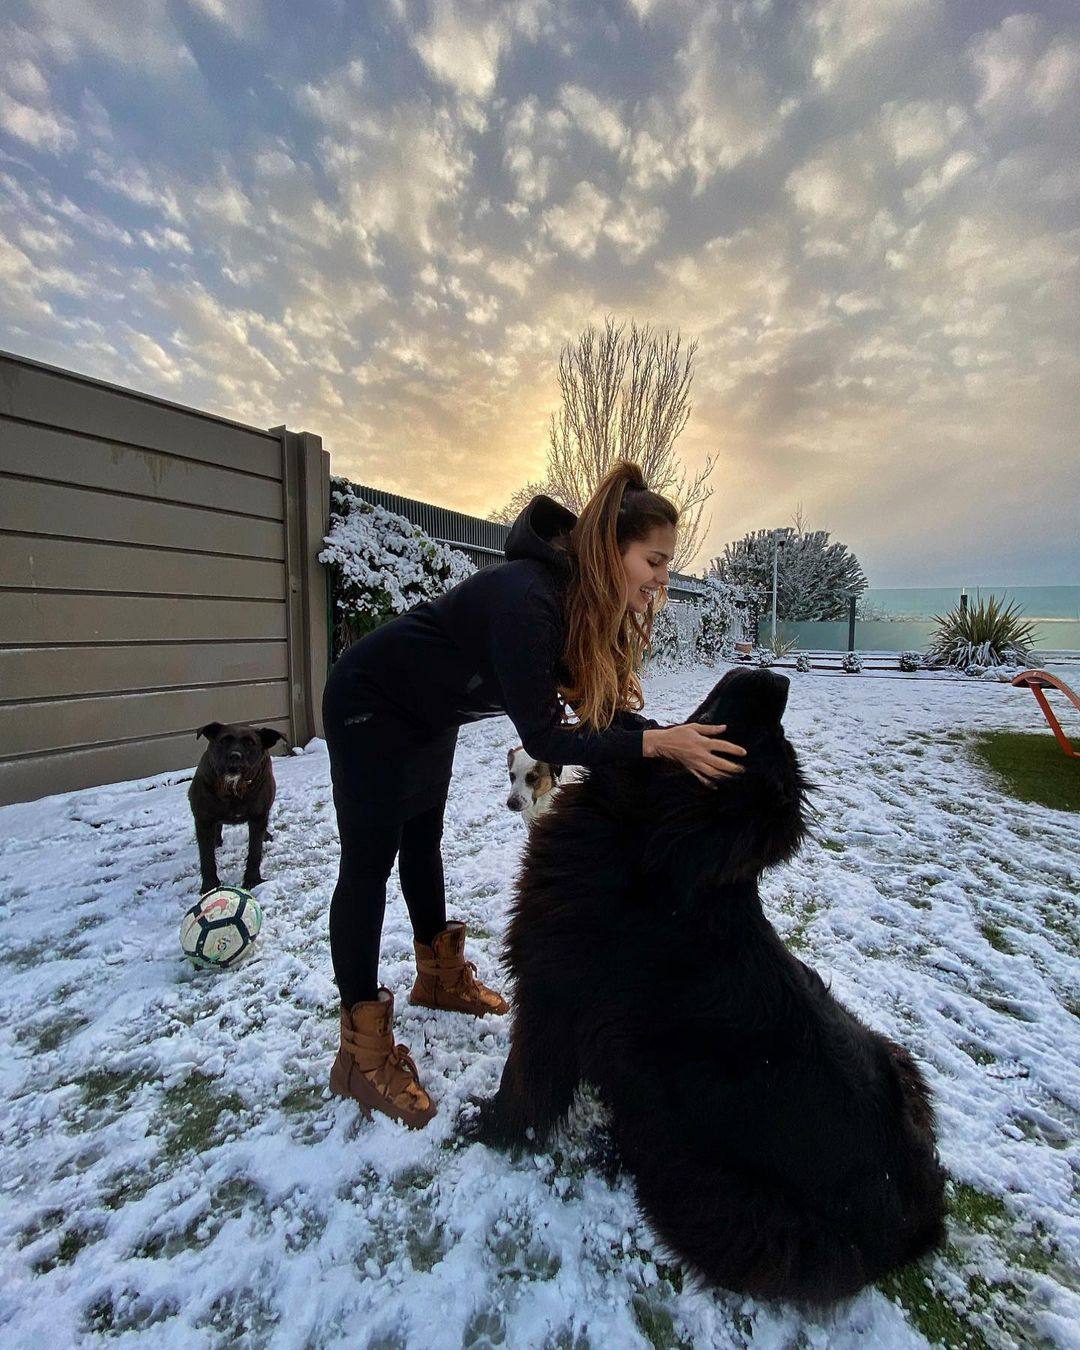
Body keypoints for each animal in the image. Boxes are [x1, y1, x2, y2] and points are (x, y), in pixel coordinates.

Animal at [187, 718, 284, 896]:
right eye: (224, 740)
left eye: (250, 743)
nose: (234, 756)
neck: (233, 788)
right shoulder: (203, 820)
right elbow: (206, 857)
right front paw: (209, 886)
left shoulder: (258, 817)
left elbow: (255, 851)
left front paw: (252, 880)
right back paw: (216, 840)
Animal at [472, 672, 945, 1306]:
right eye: (767, 734)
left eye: (751, 742)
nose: (778, 680)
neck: (649, 851)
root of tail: (921, 1220)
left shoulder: (552, 994)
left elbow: (523, 1082)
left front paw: (486, 1127)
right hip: (894, 1055)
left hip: (717, 1196)